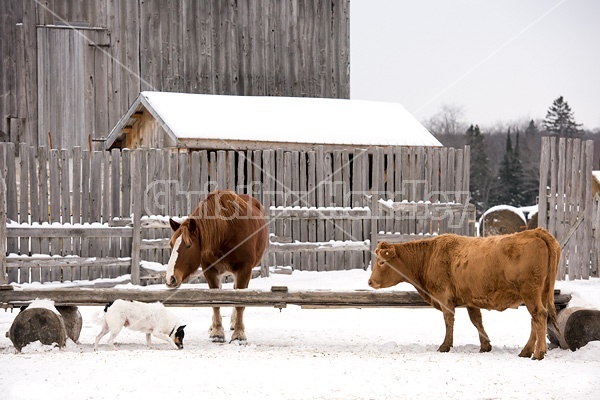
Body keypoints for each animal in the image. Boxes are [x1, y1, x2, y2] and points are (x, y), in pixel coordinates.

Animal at [165, 192, 266, 342]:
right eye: (171, 245)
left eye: (189, 245)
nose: (170, 278)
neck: (227, 232)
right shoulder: (210, 271)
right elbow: (214, 300)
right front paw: (217, 332)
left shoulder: (244, 270)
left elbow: (240, 302)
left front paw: (239, 334)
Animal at [368, 227, 560, 360]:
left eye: (382, 261)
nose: (370, 282)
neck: (429, 256)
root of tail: (535, 232)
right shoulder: (470, 300)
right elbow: (477, 321)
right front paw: (485, 345)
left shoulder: (444, 297)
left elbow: (449, 320)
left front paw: (445, 345)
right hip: (540, 294)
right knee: (536, 320)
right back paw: (526, 351)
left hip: (530, 292)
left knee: (539, 315)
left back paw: (538, 353)